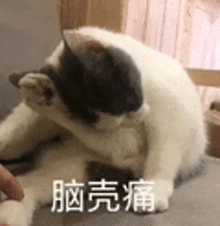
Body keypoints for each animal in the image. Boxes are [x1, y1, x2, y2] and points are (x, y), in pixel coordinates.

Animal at [0, 26, 207, 226]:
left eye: (128, 100)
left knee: (27, 185)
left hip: (80, 168)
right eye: (95, 121)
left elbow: (160, 156)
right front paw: (46, 98)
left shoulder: (168, 119)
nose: (135, 119)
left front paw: (152, 191)